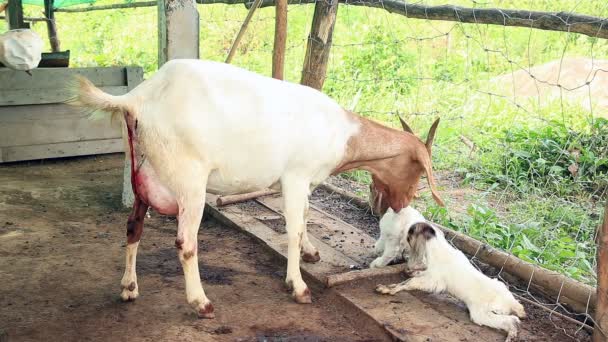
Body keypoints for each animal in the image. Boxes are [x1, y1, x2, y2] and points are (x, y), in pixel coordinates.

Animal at [372, 208, 524, 340]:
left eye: (411, 232)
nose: (404, 237)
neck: (438, 247)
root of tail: (511, 303)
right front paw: (409, 272)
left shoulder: (433, 280)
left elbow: (408, 283)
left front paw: (387, 289)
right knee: (511, 319)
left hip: (481, 313)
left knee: (512, 320)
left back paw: (511, 336)